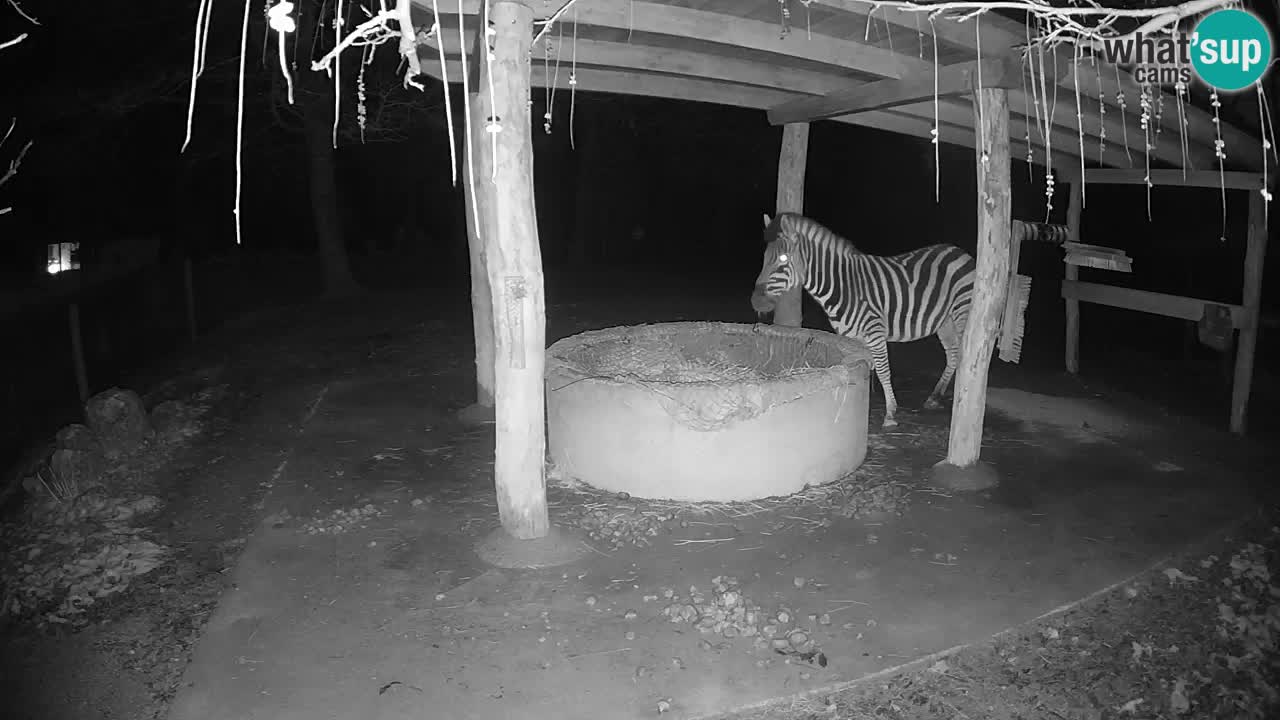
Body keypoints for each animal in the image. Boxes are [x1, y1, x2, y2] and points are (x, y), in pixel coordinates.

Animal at [747, 211, 977, 425]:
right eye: (765, 258)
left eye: (783, 259)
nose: (756, 302)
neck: (842, 287)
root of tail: (959, 251)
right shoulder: (853, 337)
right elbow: (863, 367)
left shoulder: (875, 331)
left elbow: (883, 370)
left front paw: (890, 414)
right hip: (945, 320)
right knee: (953, 354)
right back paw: (935, 397)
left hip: (961, 311)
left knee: (963, 354)